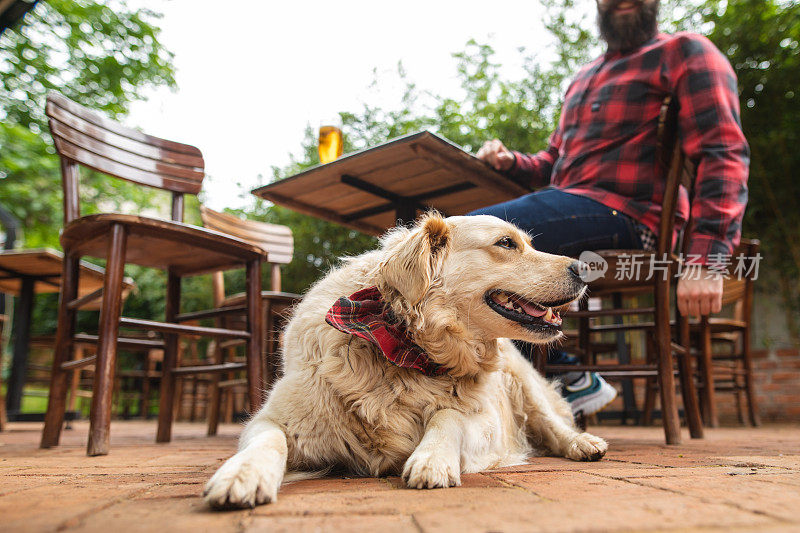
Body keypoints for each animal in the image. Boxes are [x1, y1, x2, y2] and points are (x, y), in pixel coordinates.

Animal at [205, 212, 608, 508]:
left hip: (522, 383)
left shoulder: (485, 422)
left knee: (553, 424)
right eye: (507, 243)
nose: (585, 269)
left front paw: (432, 459)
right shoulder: (274, 418)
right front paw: (242, 474)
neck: (409, 348)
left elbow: (448, 416)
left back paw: (583, 444)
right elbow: (268, 441)